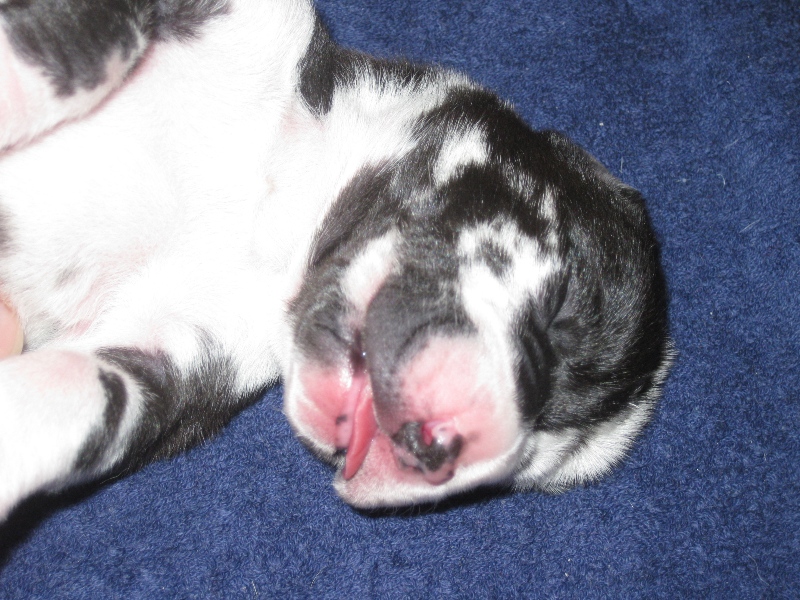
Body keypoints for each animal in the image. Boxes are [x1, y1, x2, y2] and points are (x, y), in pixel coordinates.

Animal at [0, 0, 672, 518]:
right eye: (562, 309)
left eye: (527, 460)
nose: (437, 451)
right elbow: (88, 42)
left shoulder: (170, 362)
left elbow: (76, 398)